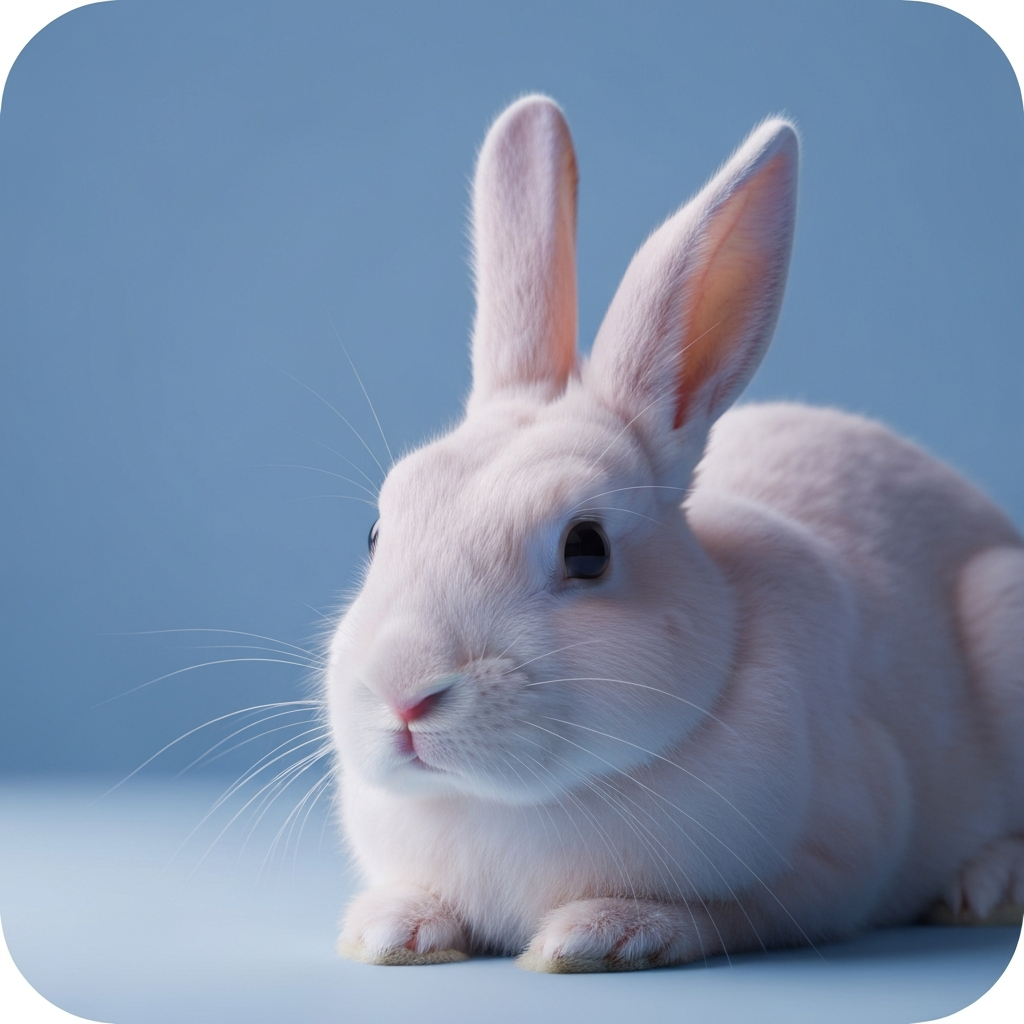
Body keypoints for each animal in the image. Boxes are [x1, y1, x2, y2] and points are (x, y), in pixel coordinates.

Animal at [326, 94, 1024, 972]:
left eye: (586, 548)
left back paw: (987, 888)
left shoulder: (833, 866)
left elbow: (726, 915)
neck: (506, 805)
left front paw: (603, 933)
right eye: (378, 531)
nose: (404, 695)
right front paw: (392, 929)